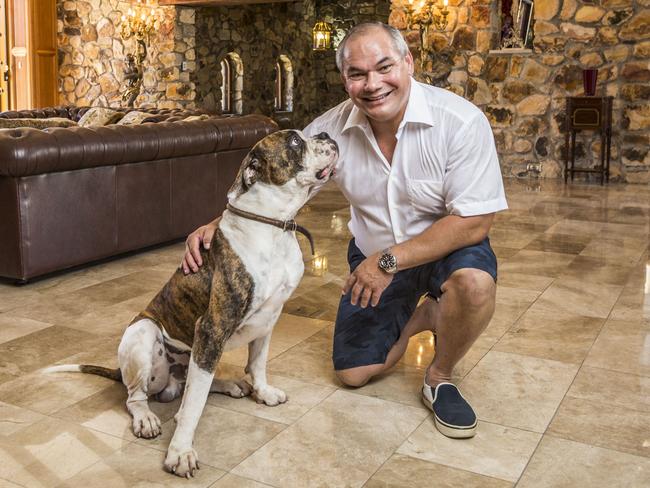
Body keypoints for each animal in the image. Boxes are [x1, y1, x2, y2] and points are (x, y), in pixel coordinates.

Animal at [45, 130, 336, 476]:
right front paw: (180, 452)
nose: (325, 134)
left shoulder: (269, 317)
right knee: (139, 397)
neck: (273, 225)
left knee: (193, 382)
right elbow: (194, 405)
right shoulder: (211, 328)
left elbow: (257, 363)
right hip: (144, 333)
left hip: (193, 354)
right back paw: (146, 418)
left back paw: (228, 385)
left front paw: (263, 392)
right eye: (294, 142)